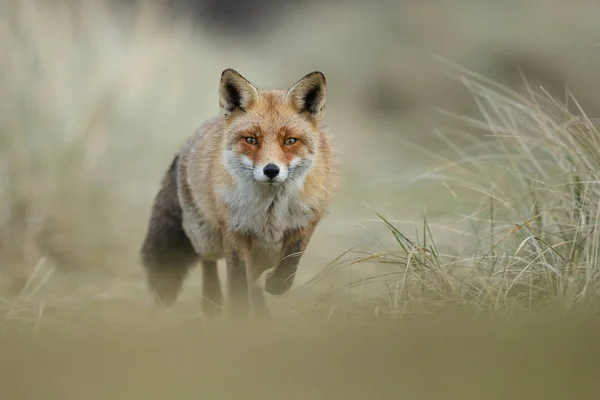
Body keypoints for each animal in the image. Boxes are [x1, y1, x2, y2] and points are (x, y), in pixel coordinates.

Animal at [139, 70, 338, 318]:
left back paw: (262, 315)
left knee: (254, 279)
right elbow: (237, 285)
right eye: (251, 139)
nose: (271, 170)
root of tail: (189, 141)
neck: (270, 210)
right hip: (207, 237)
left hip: (266, 250)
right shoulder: (235, 231)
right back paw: (212, 305)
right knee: (208, 262)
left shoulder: (304, 223)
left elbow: (288, 267)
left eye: (290, 140)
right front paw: (238, 318)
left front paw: (275, 284)